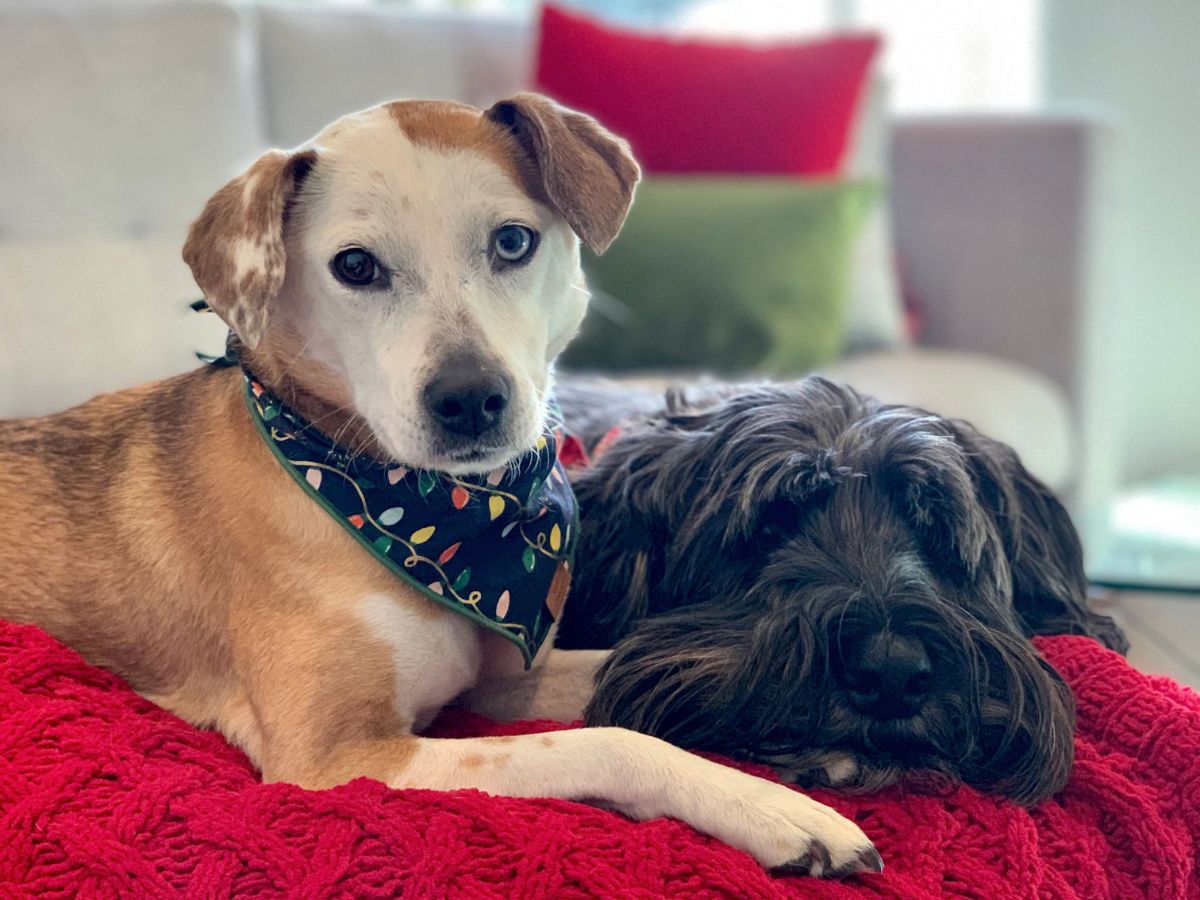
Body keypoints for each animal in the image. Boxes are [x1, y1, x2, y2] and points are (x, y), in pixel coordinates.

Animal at [0, 97, 883, 883]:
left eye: (514, 241)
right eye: (355, 266)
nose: (469, 399)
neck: (430, 522)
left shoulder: (504, 677)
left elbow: (629, 669)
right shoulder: (340, 758)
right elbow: (604, 741)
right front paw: (773, 808)